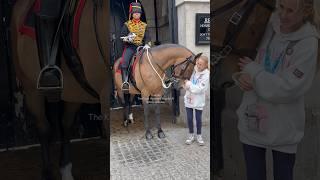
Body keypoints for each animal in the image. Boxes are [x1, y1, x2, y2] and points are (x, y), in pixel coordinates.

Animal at [10, 0, 110, 180]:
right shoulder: (106, 97)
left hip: (73, 91)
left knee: (66, 125)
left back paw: (65, 169)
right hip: (31, 90)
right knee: (44, 127)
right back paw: (47, 173)